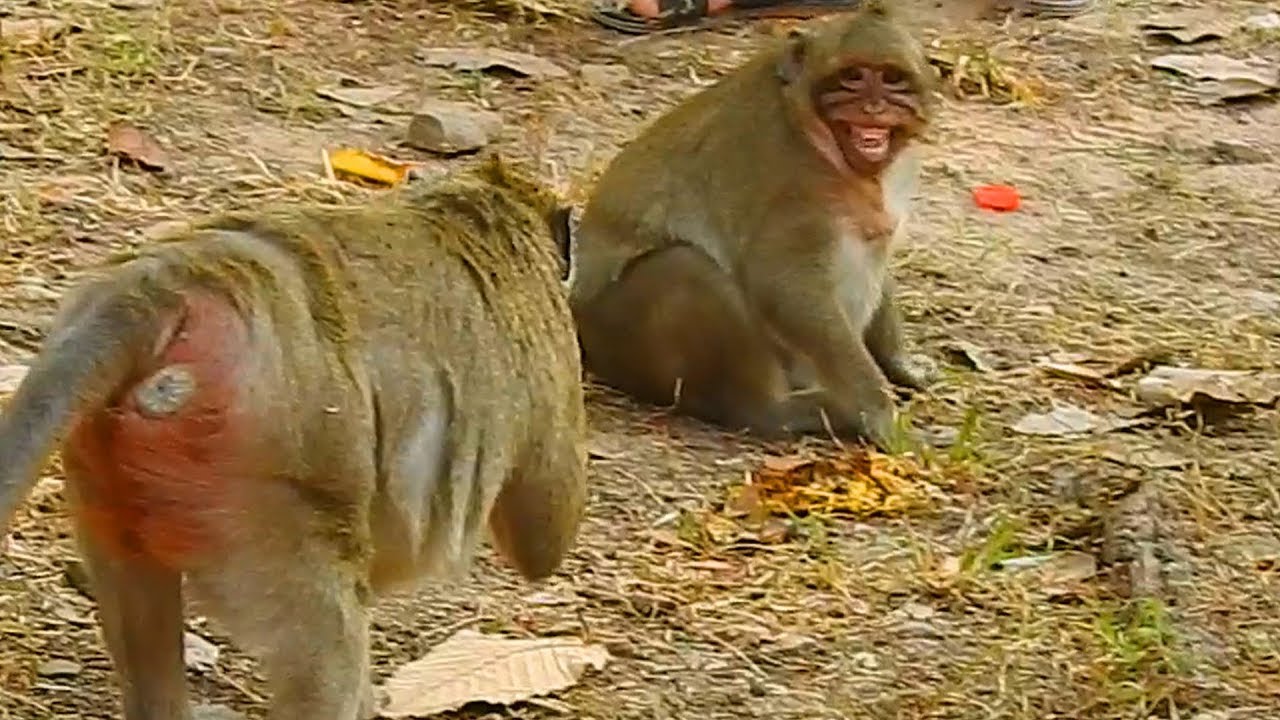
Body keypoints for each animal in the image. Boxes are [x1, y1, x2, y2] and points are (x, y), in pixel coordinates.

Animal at [0, 156, 588, 720]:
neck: (477, 202)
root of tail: (168, 288)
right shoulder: (549, 331)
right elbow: (543, 534)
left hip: (109, 465)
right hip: (258, 498)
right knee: (326, 631)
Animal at [564, 2, 937, 448]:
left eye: (892, 79)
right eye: (853, 78)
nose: (873, 107)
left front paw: (902, 366)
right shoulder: (791, 180)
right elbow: (783, 285)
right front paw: (879, 411)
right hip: (618, 337)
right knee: (684, 268)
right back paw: (773, 410)